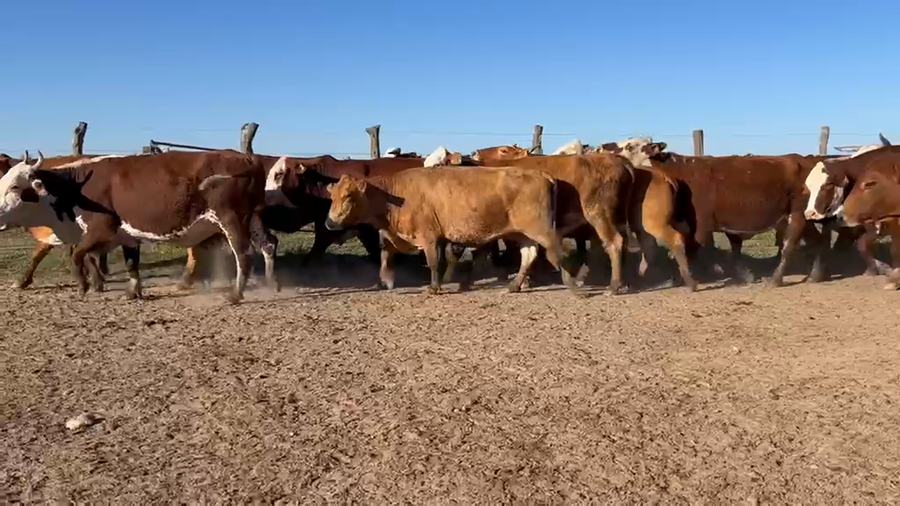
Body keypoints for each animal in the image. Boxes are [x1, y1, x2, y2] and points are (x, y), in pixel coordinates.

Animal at [0, 150, 277, 303]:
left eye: (15, 186)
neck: (76, 188)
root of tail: (245, 157)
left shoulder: (100, 229)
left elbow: (78, 255)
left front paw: (84, 285)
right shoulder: (127, 235)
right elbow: (131, 263)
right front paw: (132, 291)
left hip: (231, 220)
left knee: (244, 255)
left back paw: (235, 295)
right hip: (252, 218)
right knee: (268, 245)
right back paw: (271, 282)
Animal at [320, 166, 582, 296]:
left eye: (349, 195)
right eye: (332, 197)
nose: (330, 223)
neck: (395, 195)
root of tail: (543, 175)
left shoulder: (428, 236)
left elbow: (434, 262)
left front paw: (434, 287)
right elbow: (386, 252)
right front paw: (387, 279)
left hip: (542, 229)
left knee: (558, 252)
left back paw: (572, 284)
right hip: (523, 234)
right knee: (529, 255)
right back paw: (514, 286)